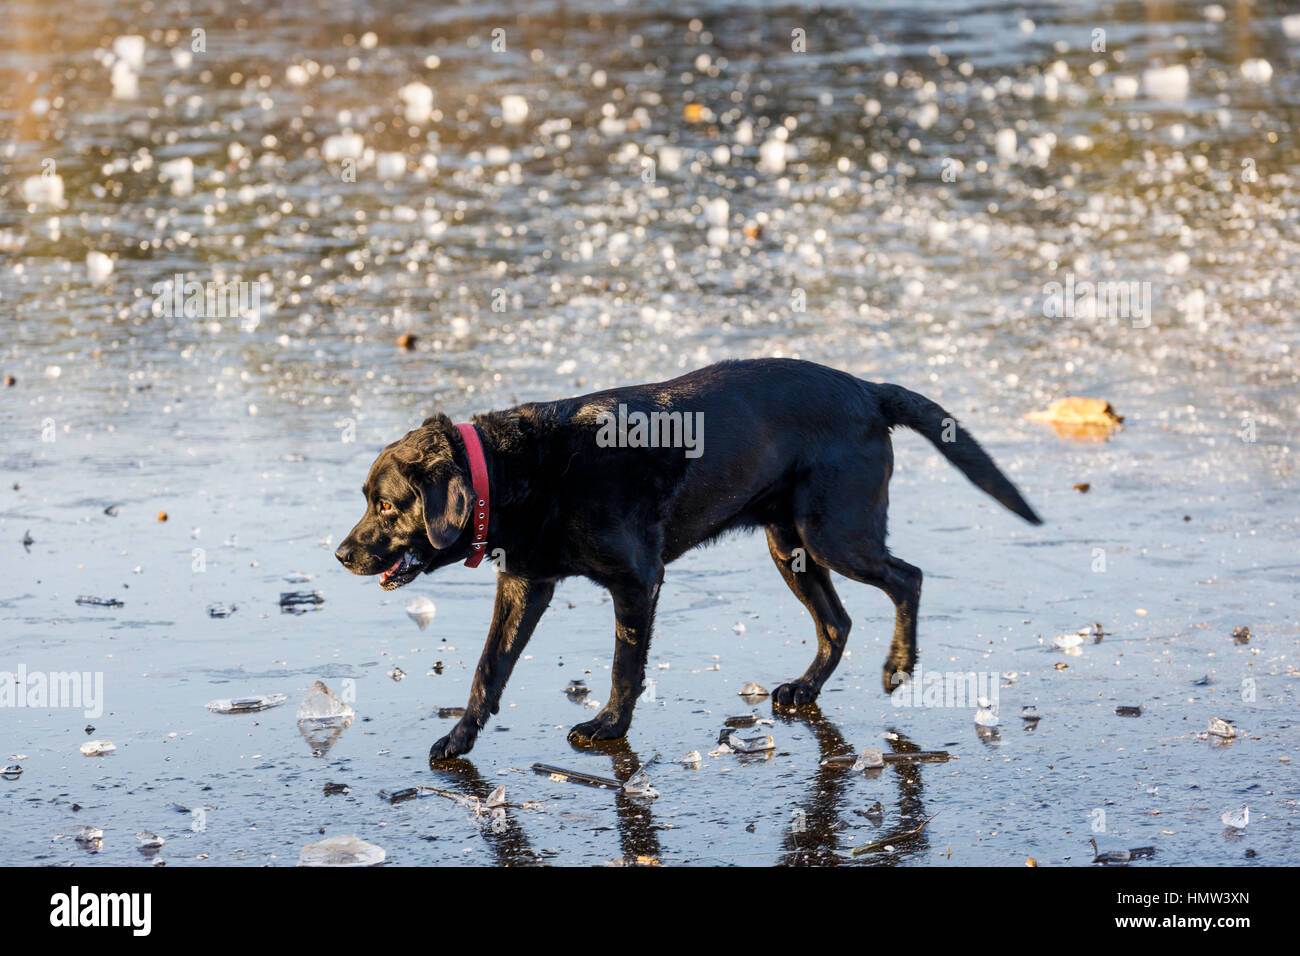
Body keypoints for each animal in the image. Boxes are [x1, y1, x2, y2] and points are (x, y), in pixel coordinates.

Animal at [338, 358, 1045, 764]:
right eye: (369, 501)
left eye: (389, 506)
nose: (341, 553)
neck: (520, 470)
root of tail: (868, 391)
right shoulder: (524, 585)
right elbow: (489, 670)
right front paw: (460, 739)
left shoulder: (637, 581)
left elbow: (624, 667)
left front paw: (608, 727)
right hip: (788, 543)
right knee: (837, 622)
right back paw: (805, 688)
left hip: (833, 533)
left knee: (908, 579)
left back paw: (899, 666)